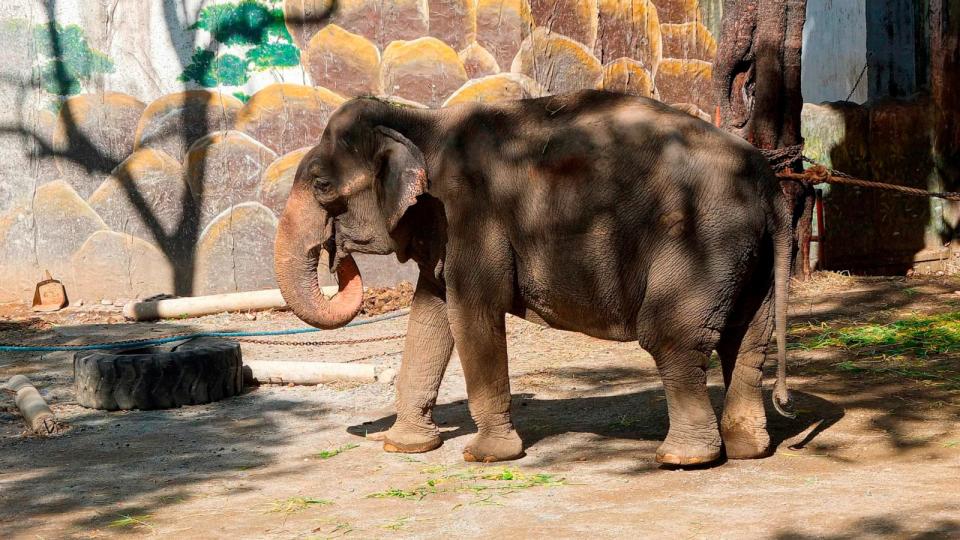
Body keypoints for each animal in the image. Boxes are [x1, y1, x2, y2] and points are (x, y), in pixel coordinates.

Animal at [272, 90, 796, 466]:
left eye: (322, 186)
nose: (336, 254)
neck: (423, 120)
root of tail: (769, 183)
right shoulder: (444, 228)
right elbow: (430, 314)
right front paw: (402, 447)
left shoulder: (472, 216)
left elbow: (471, 312)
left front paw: (484, 457)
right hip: (748, 253)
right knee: (747, 341)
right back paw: (749, 450)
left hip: (703, 240)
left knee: (672, 338)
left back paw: (683, 459)